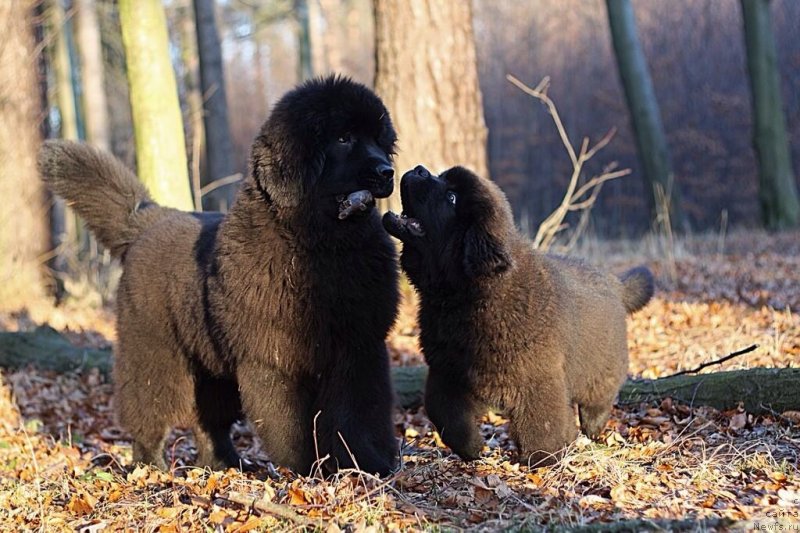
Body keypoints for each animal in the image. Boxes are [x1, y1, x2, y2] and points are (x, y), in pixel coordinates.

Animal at [37, 75, 400, 474]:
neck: (320, 248)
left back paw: (224, 464)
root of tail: (149, 219)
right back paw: (151, 466)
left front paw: (366, 465)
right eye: (344, 138)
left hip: (212, 367)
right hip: (153, 353)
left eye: (380, 140)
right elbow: (290, 425)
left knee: (210, 422)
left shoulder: (358, 348)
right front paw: (305, 468)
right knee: (148, 413)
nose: (387, 172)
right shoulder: (272, 358)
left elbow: (359, 414)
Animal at [384, 164, 652, 464]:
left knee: (596, 404)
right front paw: (474, 449)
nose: (419, 169)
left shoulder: (537, 378)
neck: (466, 298)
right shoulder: (447, 372)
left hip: (601, 371)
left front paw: (545, 459)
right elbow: (445, 416)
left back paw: (591, 432)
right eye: (441, 178)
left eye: (452, 198)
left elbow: (543, 425)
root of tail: (616, 283)